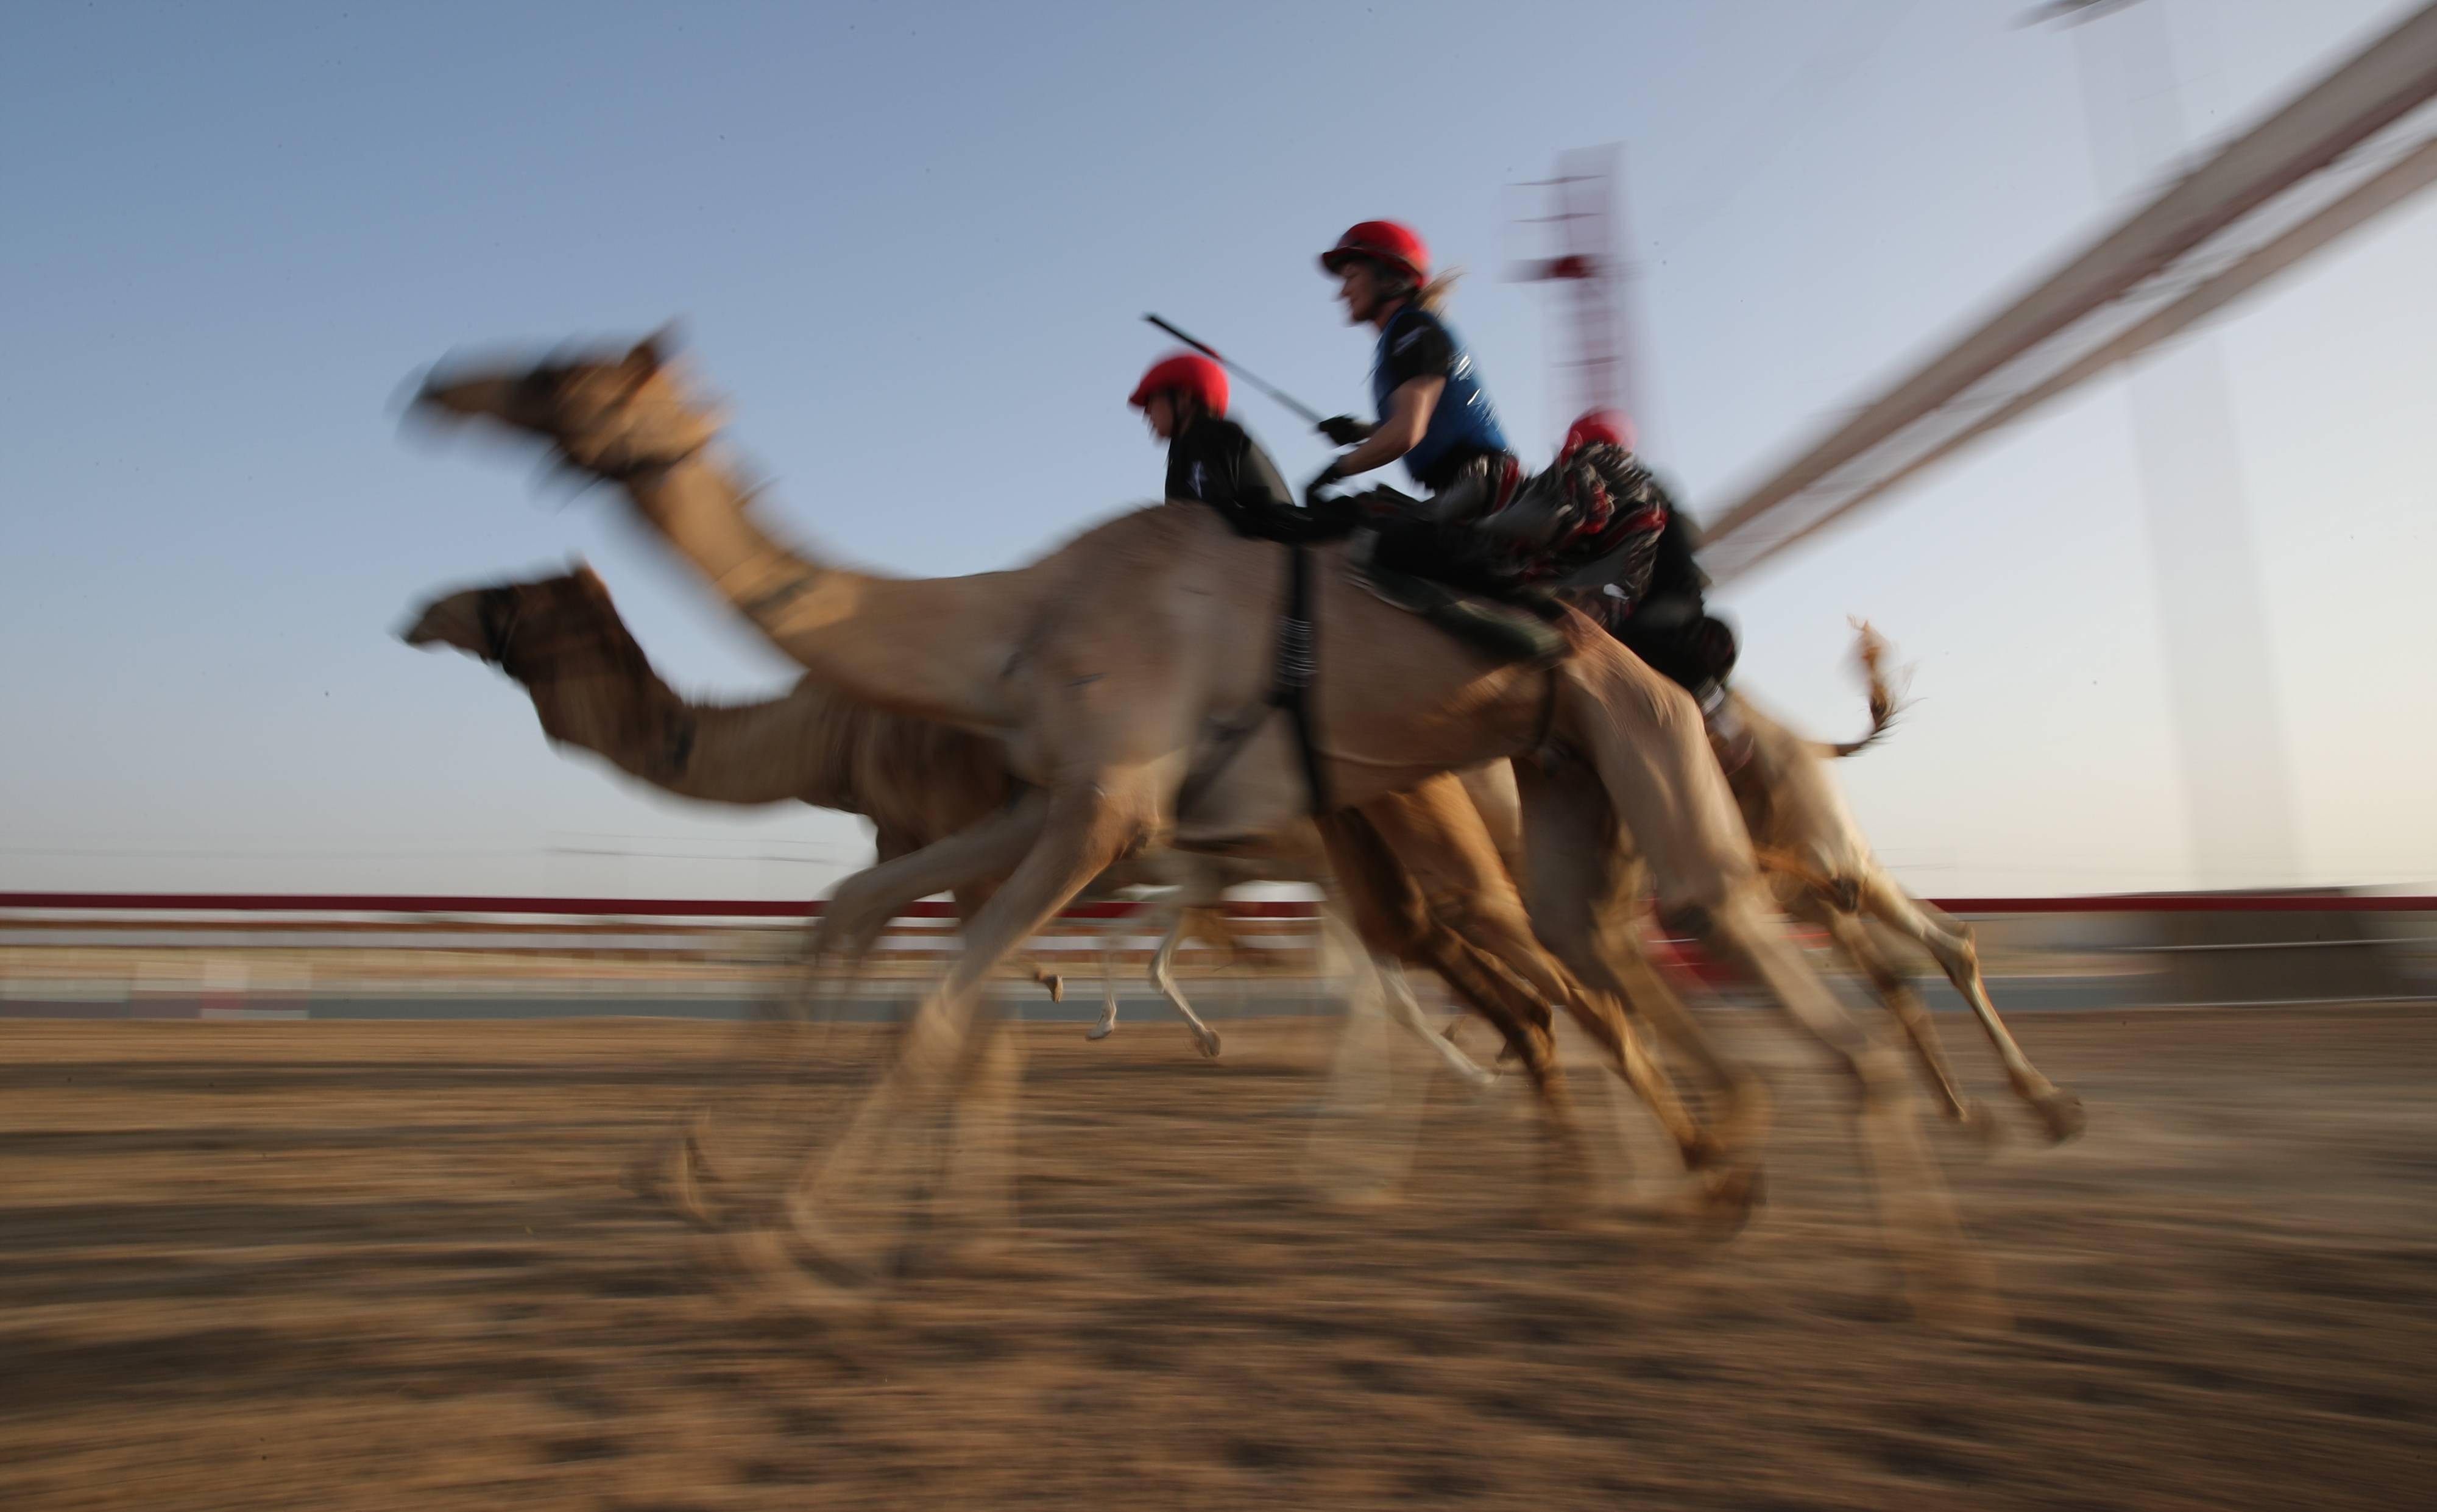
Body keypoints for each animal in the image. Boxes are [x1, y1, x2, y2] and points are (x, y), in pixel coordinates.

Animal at [409, 334, 1979, 1297]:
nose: (434, 385)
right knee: (1582, 968)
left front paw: (792, 1232)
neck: (995, 631)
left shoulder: (1096, 809)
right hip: (1544, 792)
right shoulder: (1038, 802)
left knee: (1683, 964)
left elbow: (938, 1011)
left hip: (1587, 777)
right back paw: (1684, 1181)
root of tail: (1658, 636)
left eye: (552, 370)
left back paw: (1897, 1246)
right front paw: (702, 1178)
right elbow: (858, 930)